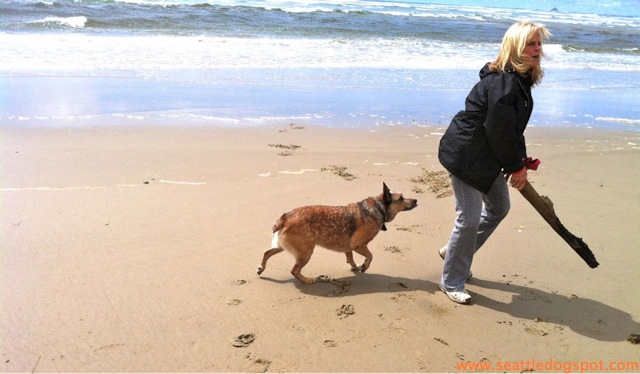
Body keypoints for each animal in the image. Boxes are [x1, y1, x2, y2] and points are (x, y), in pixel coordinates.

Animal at [258, 183, 418, 284]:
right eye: (401, 198)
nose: (416, 200)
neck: (378, 208)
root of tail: (284, 217)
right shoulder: (358, 245)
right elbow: (370, 256)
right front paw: (364, 267)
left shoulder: (349, 247)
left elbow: (350, 257)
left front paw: (355, 267)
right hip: (306, 251)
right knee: (294, 270)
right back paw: (308, 280)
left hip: (283, 246)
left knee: (267, 252)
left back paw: (261, 268)